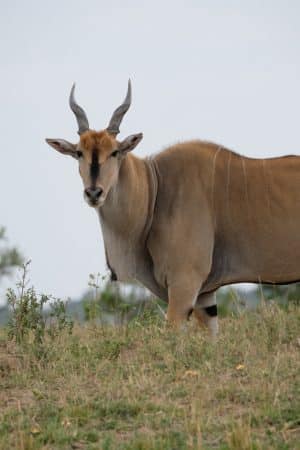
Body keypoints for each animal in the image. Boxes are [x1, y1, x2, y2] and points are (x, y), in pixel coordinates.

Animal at [45, 81, 300, 336]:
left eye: (115, 152)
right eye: (79, 153)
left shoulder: (184, 284)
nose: (93, 193)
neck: (155, 188)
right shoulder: (205, 295)